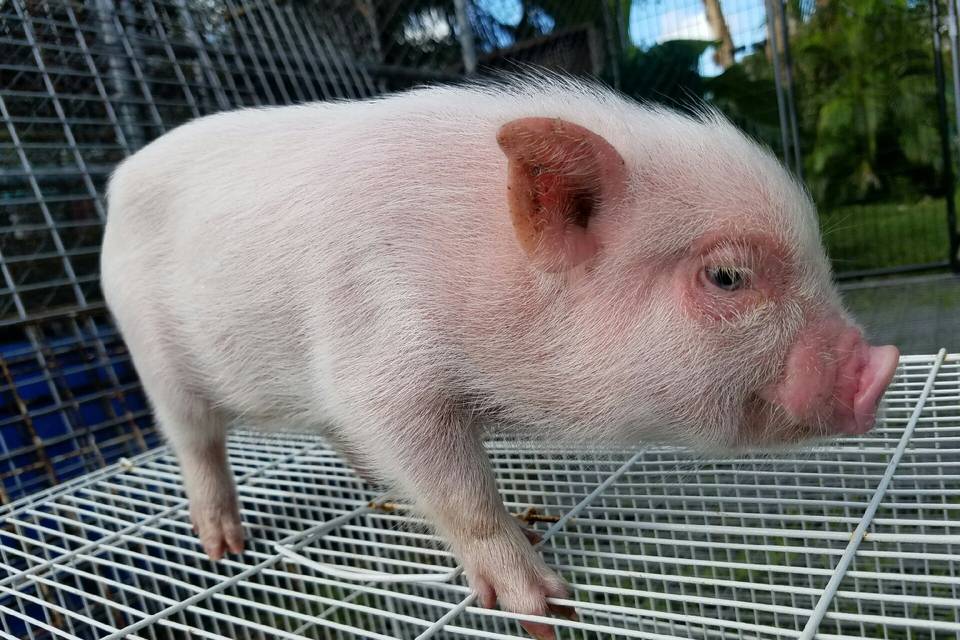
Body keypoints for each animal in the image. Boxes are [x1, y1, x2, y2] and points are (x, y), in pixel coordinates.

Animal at [99, 76, 900, 640]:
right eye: (728, 276)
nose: (883, 364)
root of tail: (118, 175)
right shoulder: (384, 371)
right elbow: (461, 492)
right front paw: (546, 610)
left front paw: (536, 525)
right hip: (152, 355)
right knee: (197, 443)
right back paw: (224, 547)